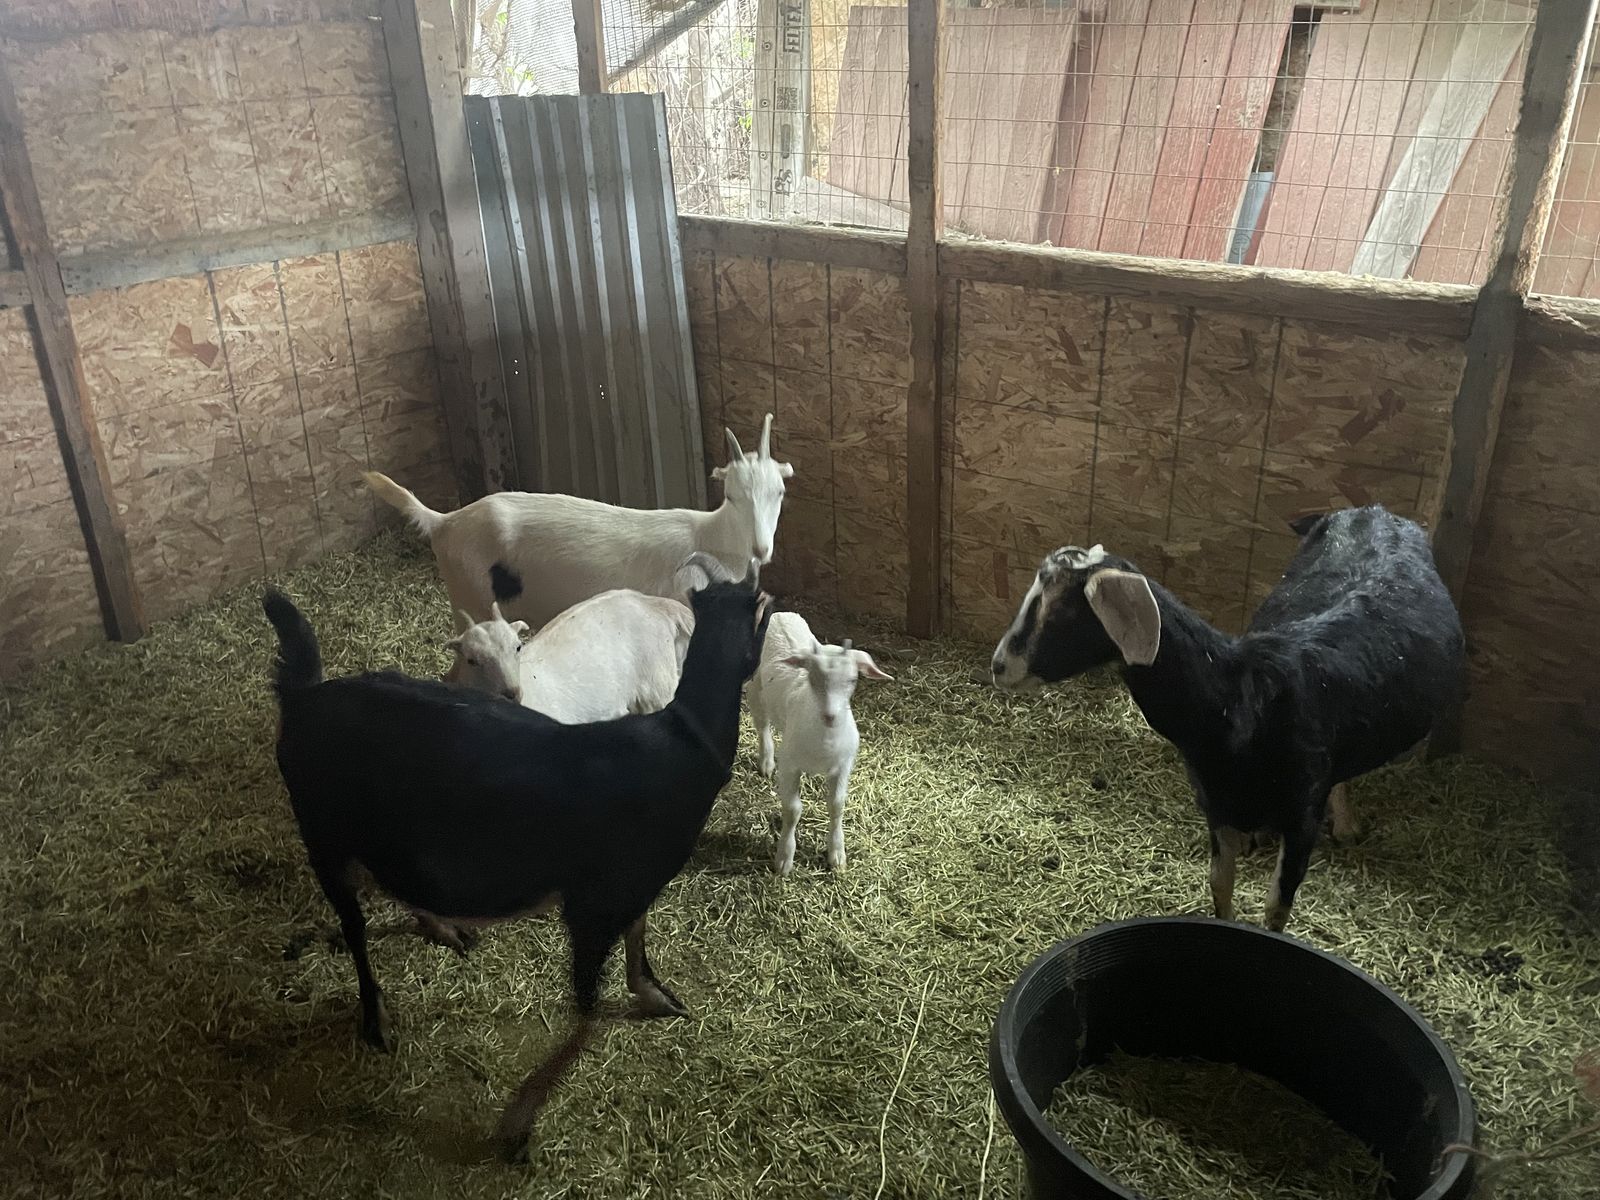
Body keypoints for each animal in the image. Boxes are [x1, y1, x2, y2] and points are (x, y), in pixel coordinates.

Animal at [363, 414, 793, 632]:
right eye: (732, 496)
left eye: (779, 492)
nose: (761, 549)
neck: (710, 536)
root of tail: (444, 521)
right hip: (472, 604)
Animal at [748, 611, 892, 875]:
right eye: (812, 678)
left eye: (853, 679)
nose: (830, 716)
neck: (825, 741)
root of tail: (780, 614)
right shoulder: (790, 766)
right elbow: (793, 809)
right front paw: (784, 858)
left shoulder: (843, 766)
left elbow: (836, 805)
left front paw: (837, 855)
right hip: (755, 687)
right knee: (762, 724)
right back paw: (766, 762)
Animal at [990, 506, 1464, 933]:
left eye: (1063, 613)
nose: (998, 666)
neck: (1239, 698)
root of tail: (1377, 511)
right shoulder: (1216, 804)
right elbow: (1220, 883)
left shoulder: (1302, 816)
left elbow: (1276, 908)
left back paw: (1346, 825)